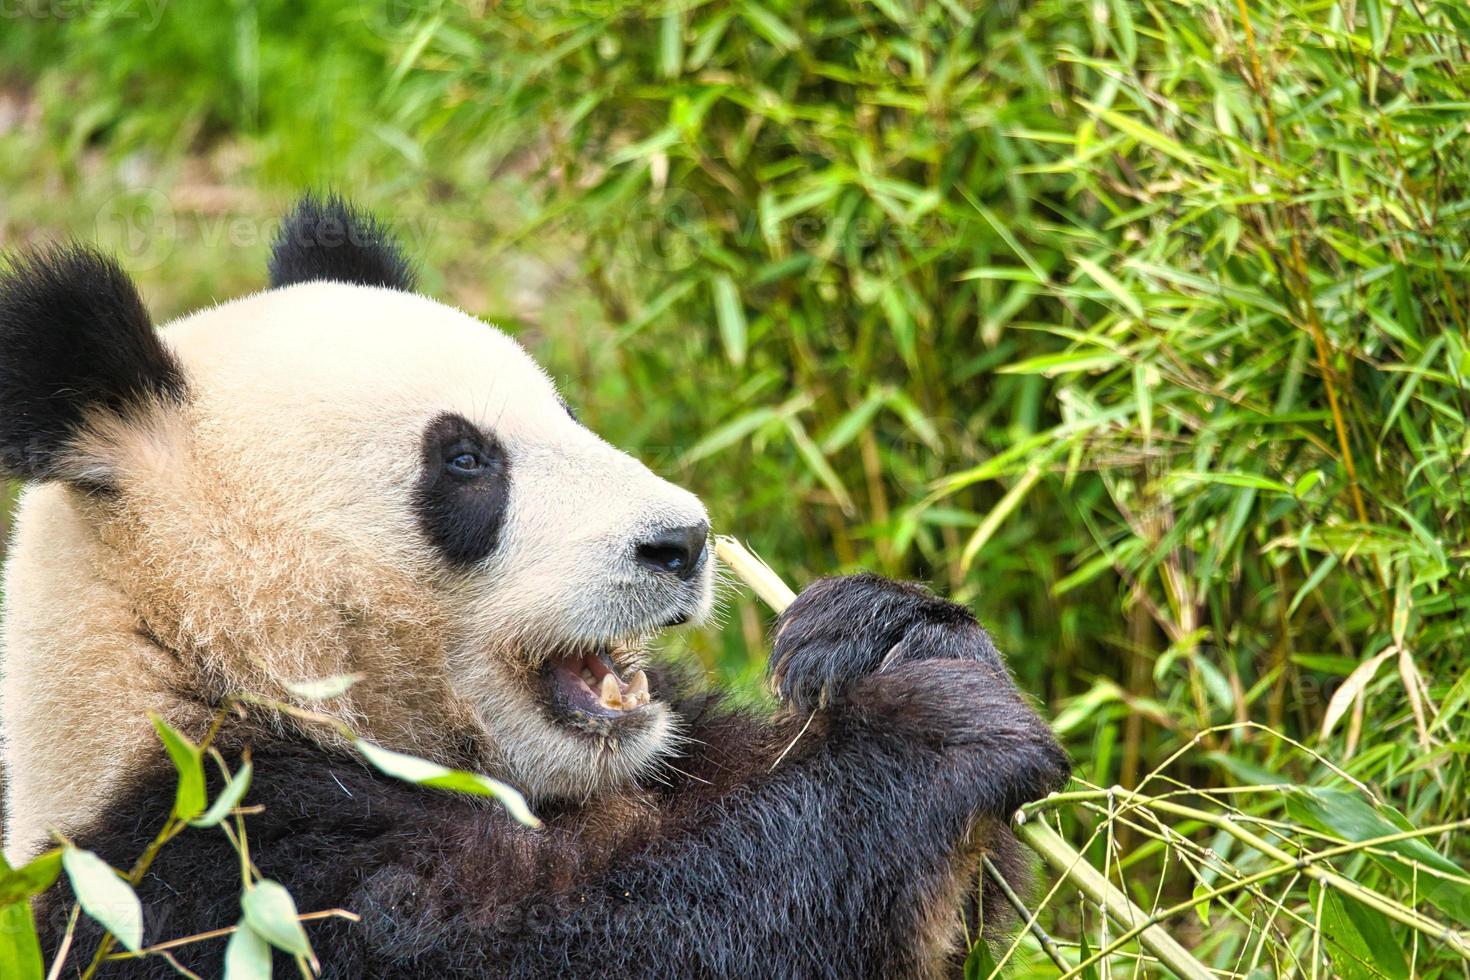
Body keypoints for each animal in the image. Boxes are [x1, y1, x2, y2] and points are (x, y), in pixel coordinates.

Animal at [0, 195, 1070, 975]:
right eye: (467, 461)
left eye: (566, 412)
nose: (681, 542)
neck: (187, 654)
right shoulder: (223, 866)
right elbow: (623, 939)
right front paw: (935, 729)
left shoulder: (666, 754)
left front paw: (876, 634)